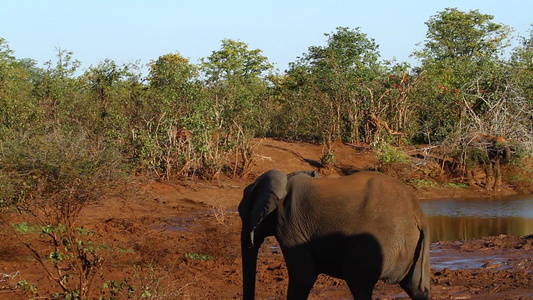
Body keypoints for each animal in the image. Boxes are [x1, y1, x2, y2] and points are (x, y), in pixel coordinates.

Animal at [239, 170, 430, 298]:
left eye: (242, 214)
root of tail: (418, 213)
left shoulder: (289, 224)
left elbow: (303, 277)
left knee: (360, 283)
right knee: (417, 288)